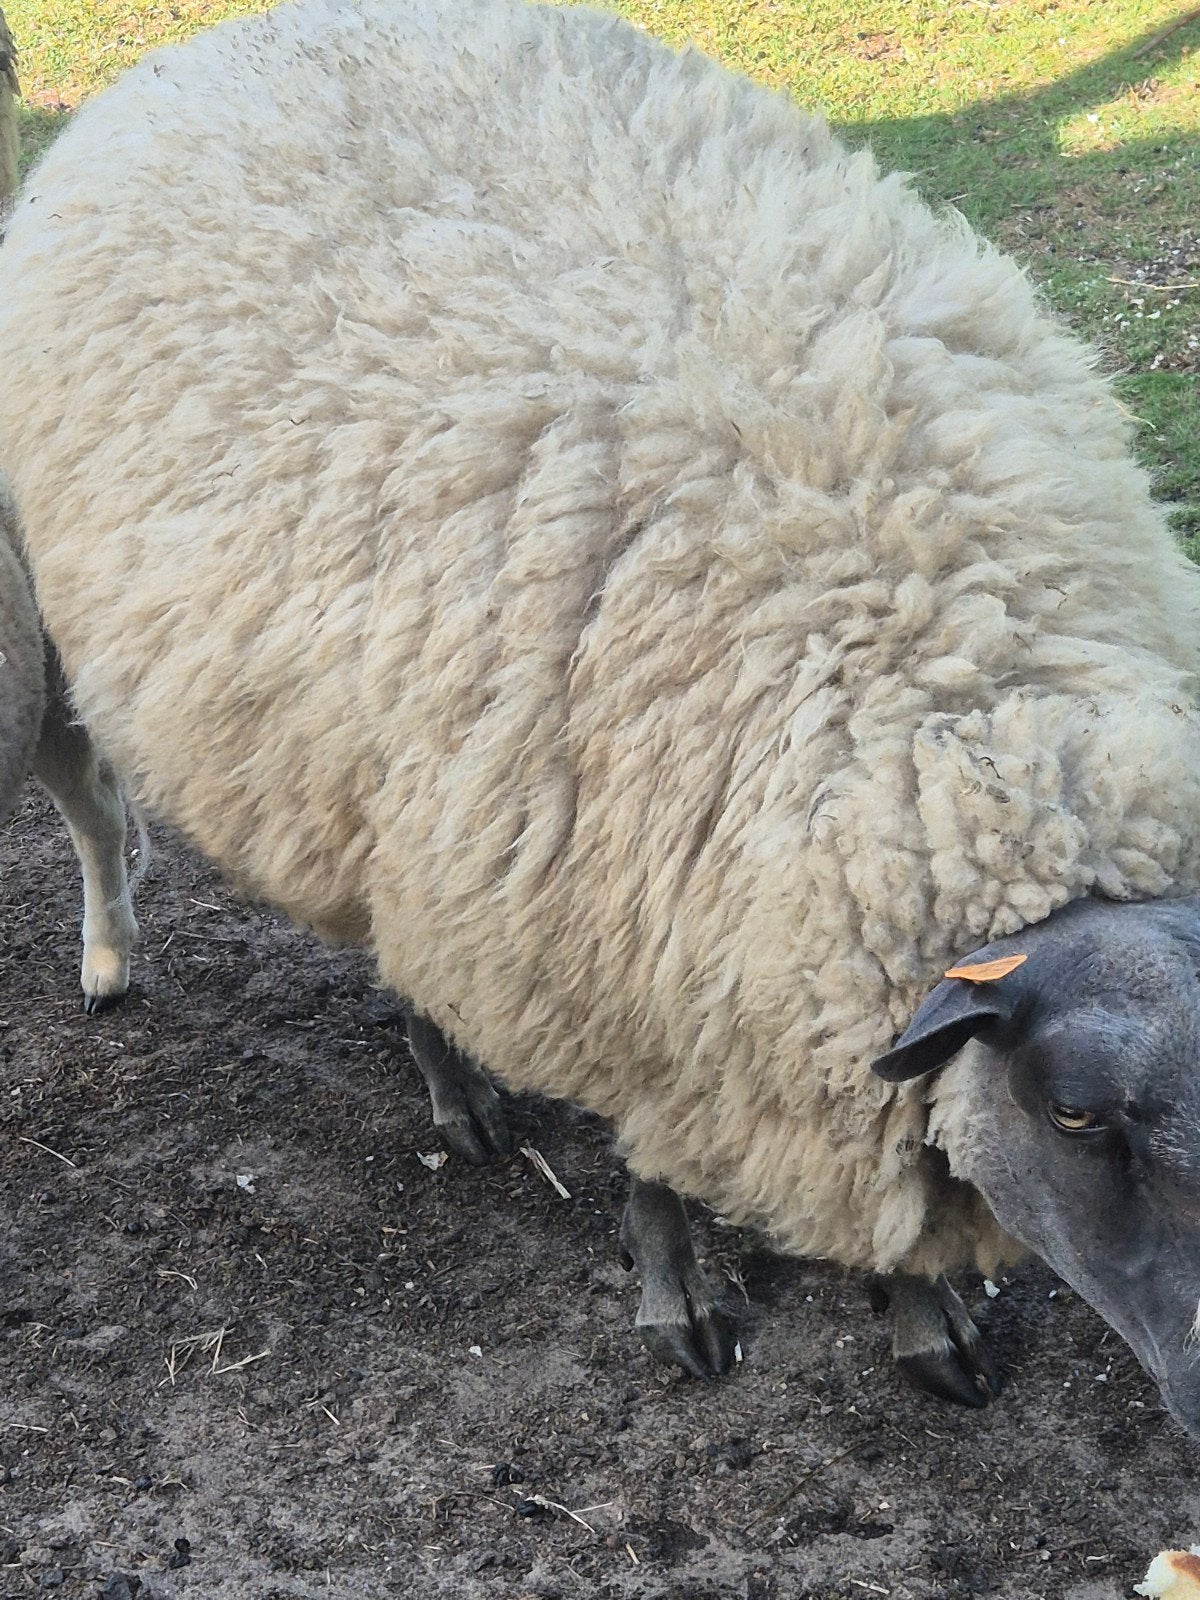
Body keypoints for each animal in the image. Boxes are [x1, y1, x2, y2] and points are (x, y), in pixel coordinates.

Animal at [3, 0, 1200, 1429]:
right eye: (1075, 1115)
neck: (954, 697)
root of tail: (221, 42)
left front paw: (921, 1315)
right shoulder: (625, 967)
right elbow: (658, 1172)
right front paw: (679, 1298)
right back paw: (437, 1088)